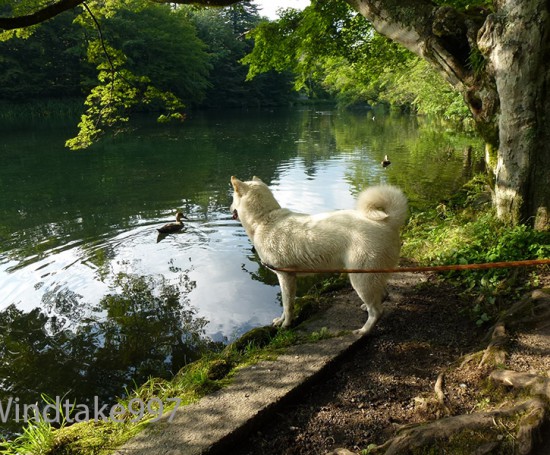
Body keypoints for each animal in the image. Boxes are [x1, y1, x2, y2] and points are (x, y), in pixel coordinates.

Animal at [231, 176, 408, 336]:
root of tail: (388, 222)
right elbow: (286, 305)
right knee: (383, 295)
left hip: (361, 278)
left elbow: (287, 306)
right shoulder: (288, 278)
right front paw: (281, 321)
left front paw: (286, 325)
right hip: (372, 275)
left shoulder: (285, 277)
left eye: (232, 197)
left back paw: (364, 330)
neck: (264, 218)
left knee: (377, 311)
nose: (229, 207)